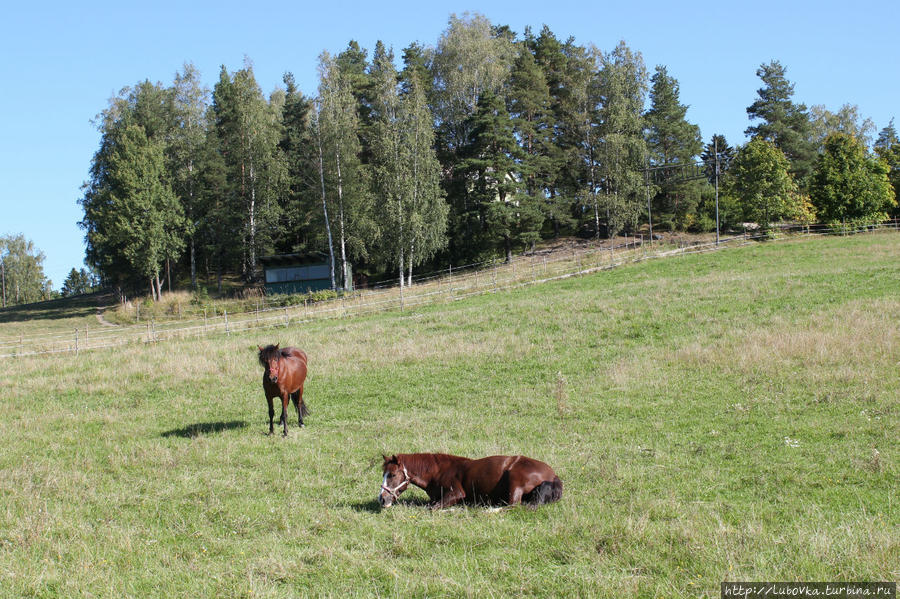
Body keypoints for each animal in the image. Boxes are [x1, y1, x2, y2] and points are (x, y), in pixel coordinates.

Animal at [378, 452, 564, 508]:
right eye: (383, 474)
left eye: (392, 475)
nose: (382, 499)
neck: (438, 471)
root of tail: (553, 475)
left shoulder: (457, 493)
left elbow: (433, 508)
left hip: (515, 482)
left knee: (513, 506)